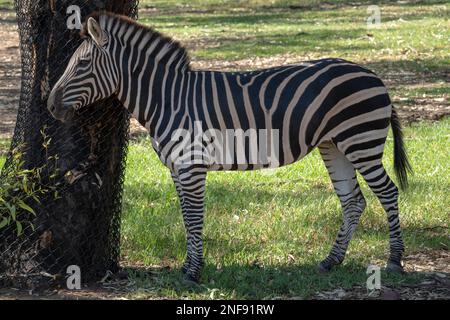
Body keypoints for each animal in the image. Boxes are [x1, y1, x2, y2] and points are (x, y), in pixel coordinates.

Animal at [46, 12, 412, 284]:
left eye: (82, 65)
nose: (49, 105)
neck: (167, 98)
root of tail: (374, 75)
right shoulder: (177, 168)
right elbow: (185, 217)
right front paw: (188, 266)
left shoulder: (192, 165)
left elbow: (194, 217)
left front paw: (193, 273)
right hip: (334, 145)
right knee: (353, 201)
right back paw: (330, 261)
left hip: (360, 140)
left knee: (388, 193)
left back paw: (394, 261)